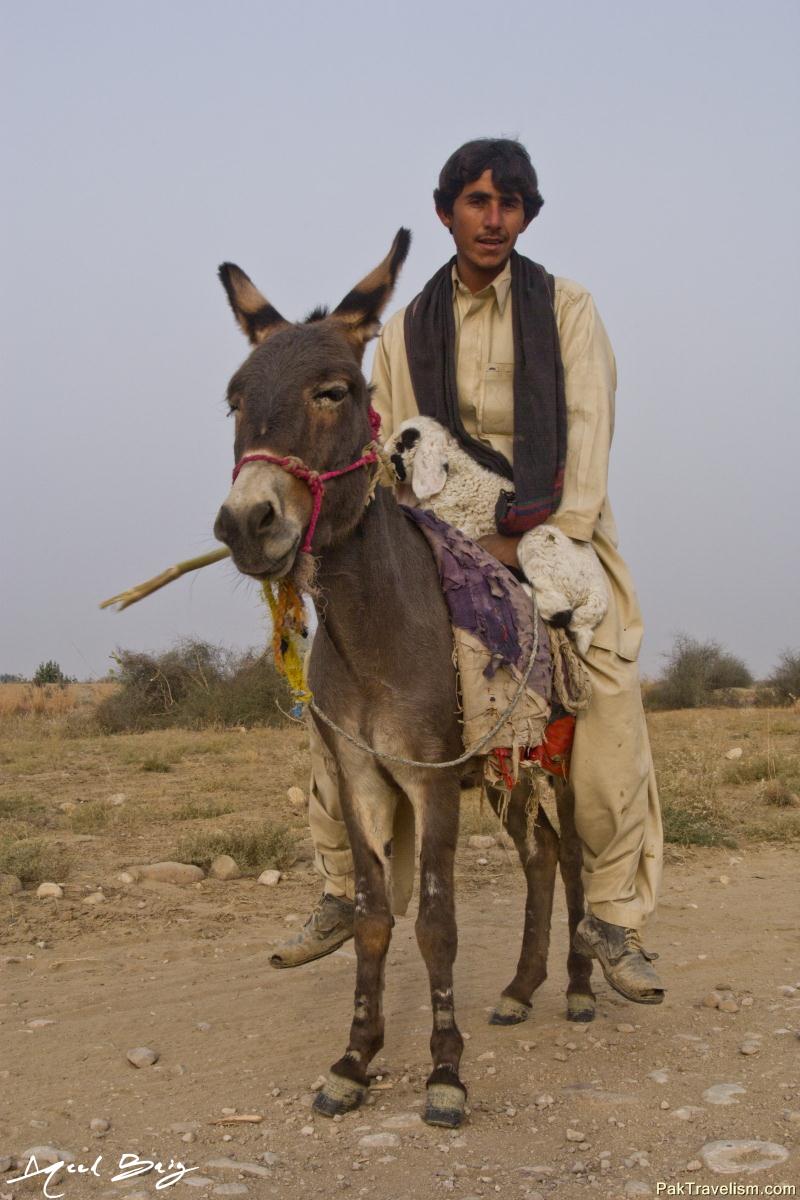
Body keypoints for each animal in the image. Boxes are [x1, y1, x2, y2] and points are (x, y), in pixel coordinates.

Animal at [386, 412, 606, 657]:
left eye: (402, 443)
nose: (383, 454)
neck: (453, 475)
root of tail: (597, 597)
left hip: (538, 544)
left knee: (557, 607)